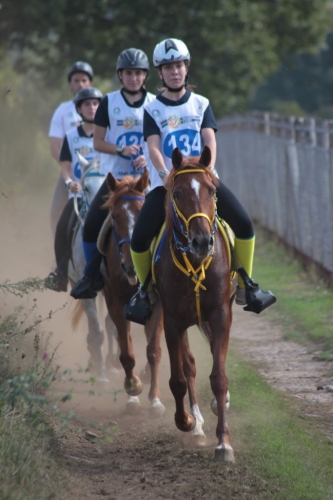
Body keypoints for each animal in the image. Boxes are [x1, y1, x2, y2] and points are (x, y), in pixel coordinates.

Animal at [101, 171, 163, 414]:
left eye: (143, 213)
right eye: (114, 217)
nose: (130, 265)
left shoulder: (158, 303)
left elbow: (153, 350)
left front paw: (155, 399)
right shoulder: (115, 303)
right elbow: (126, 352)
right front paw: (132, 390)